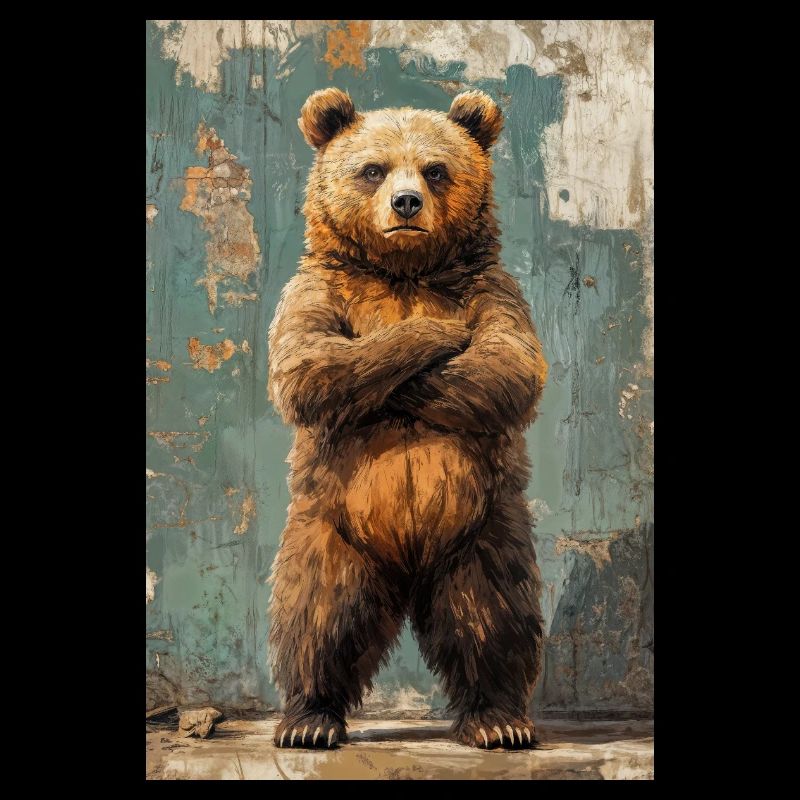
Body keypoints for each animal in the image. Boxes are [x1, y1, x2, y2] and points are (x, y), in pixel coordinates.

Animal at [267, 87, 548, 750]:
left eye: (435, 169)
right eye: (373, 168)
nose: (406, 202)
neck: (403, 270)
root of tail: (409, 569)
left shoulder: (495, 290)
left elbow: (508, 364)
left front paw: (449, 336)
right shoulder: (316, 290)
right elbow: (307, 363)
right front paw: (431, 333)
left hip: (484, 531)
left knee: (492, 615)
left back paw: (498, 718)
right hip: (331, 531)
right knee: (318, 615)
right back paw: (309, 718)